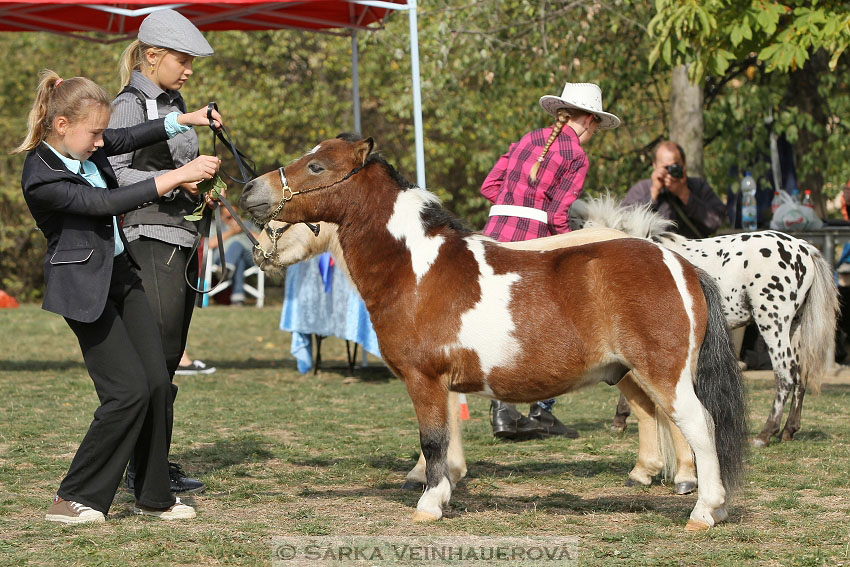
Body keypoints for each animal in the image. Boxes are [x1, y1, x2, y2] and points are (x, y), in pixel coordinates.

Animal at [242, 135, 744, 532]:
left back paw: (705, 509)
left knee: (700, 427)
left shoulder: (424, 379)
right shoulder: (445, 382)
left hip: (664, 375)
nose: (249, 189)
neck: (417, 269)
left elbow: (433, 440)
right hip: (631, 372)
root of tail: (680, 264)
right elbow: (445, 438)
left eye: (316, 166)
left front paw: (429, 503)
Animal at [568, 196, 840, 448]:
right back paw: (789, 430)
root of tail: (804, 248)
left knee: (786, 373)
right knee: (802, 373)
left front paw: (621, 420)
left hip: (772, 322)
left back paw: (765, 434)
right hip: (795, 325)